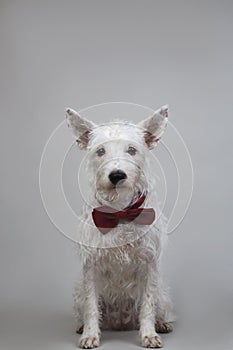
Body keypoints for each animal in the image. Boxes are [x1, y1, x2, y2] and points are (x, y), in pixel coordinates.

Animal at [65, 106, 173, 348]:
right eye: (100, 151)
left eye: (131, 150)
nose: (116, 175)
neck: (120, 211)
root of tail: (120, 322)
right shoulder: (91, 265)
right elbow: (91, 306)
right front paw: (90, 334)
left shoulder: (149, 264)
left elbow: (148, 305)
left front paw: (149, 334)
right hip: (77, 291)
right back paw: (81, 326)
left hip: (162, 292)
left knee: (158, 307)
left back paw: (162, 323)